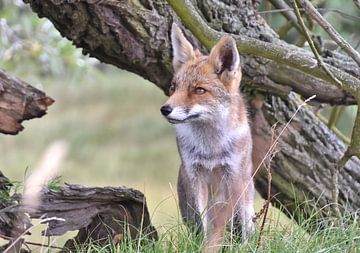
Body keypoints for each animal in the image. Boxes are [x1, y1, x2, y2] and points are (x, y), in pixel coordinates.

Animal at [160, 23, 256, 251]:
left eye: (198, 90)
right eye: (173, 88)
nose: (165, 109)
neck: (211, 148)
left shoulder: (234, 174)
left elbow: (236, 223)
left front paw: (237, 247)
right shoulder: (194, 174)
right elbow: (200, 223)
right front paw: (200, 246)